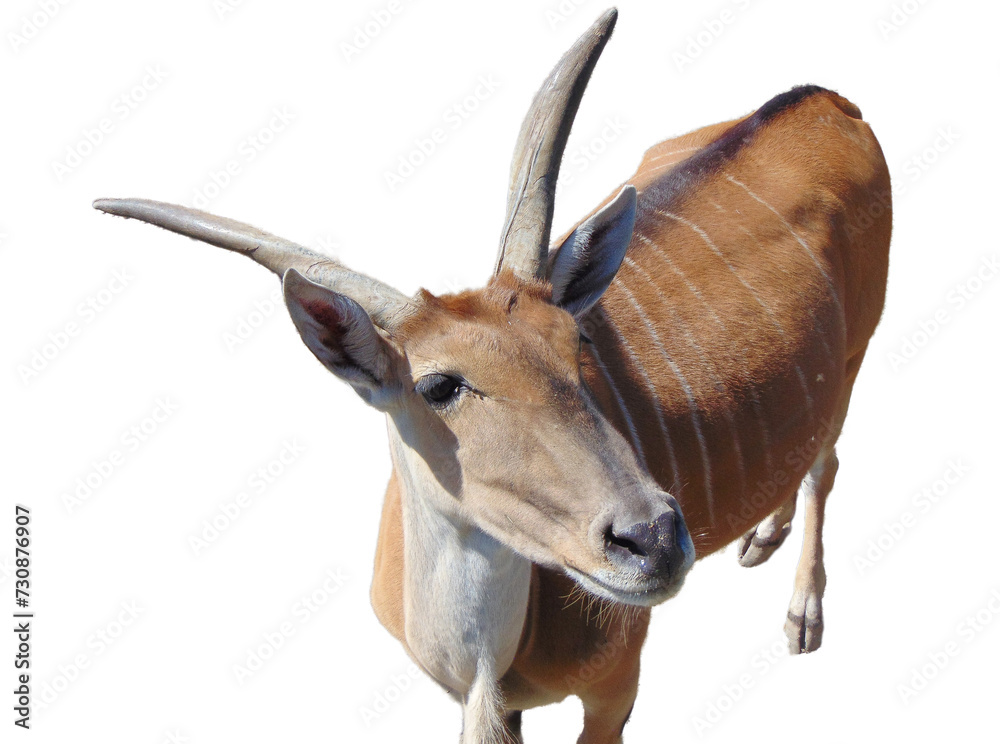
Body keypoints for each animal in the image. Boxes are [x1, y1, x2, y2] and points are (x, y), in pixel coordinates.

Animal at [93, 8, 891, 743]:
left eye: (578, 342)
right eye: (439, 385)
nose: (655, 538)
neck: (480, 665)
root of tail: (826, 101)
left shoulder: (615, 690)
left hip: (858, 354)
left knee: (827, 460)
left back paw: (803, 613)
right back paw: (762, 536)